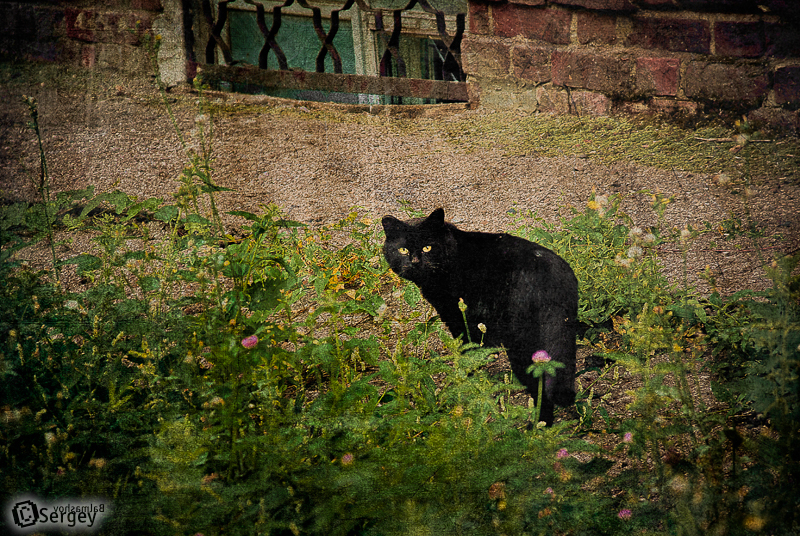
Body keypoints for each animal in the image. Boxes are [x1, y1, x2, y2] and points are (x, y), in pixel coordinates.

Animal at [382, 207, 576, 426]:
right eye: (403, 250)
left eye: (427, 247)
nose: (415, 262)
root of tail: (556, 277)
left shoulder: (459, 318)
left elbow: (468, 350)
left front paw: (468, 378)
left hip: (525, 346)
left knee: (541, 388)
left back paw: (535, 428)